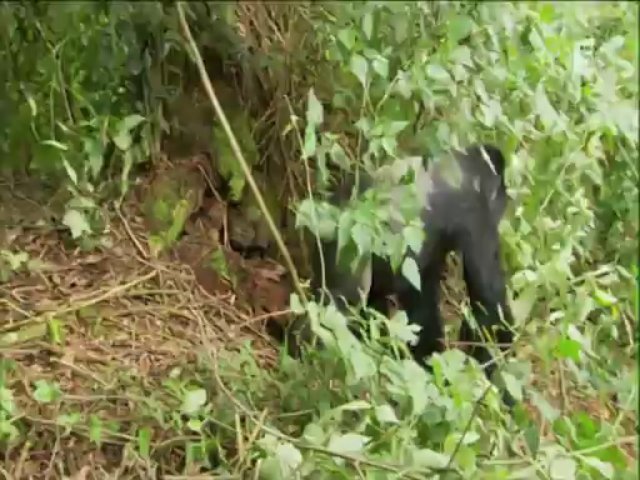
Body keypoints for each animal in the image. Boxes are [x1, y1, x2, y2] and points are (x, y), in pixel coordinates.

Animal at [304, 144, 516, 404]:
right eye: (500, 191)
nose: (506, 200)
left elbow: (422, 305)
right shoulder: (476, 215)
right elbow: (489, 306)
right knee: (342, 302)